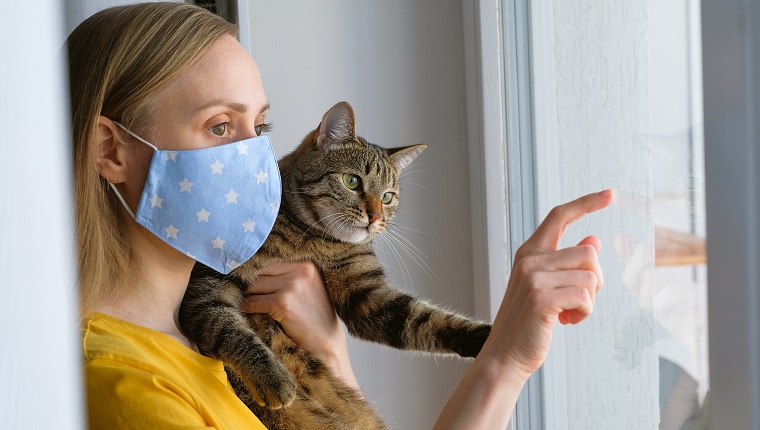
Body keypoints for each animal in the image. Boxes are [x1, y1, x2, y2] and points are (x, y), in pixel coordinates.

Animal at [182, 101, 496, 430]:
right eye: (352, 181)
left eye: (387, 197)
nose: (375, 217)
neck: (314, 240)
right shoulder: (207, 285)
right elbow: (228, 327)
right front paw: (273, 380)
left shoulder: (367, 295)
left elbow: (428, 321)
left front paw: (488, 338)